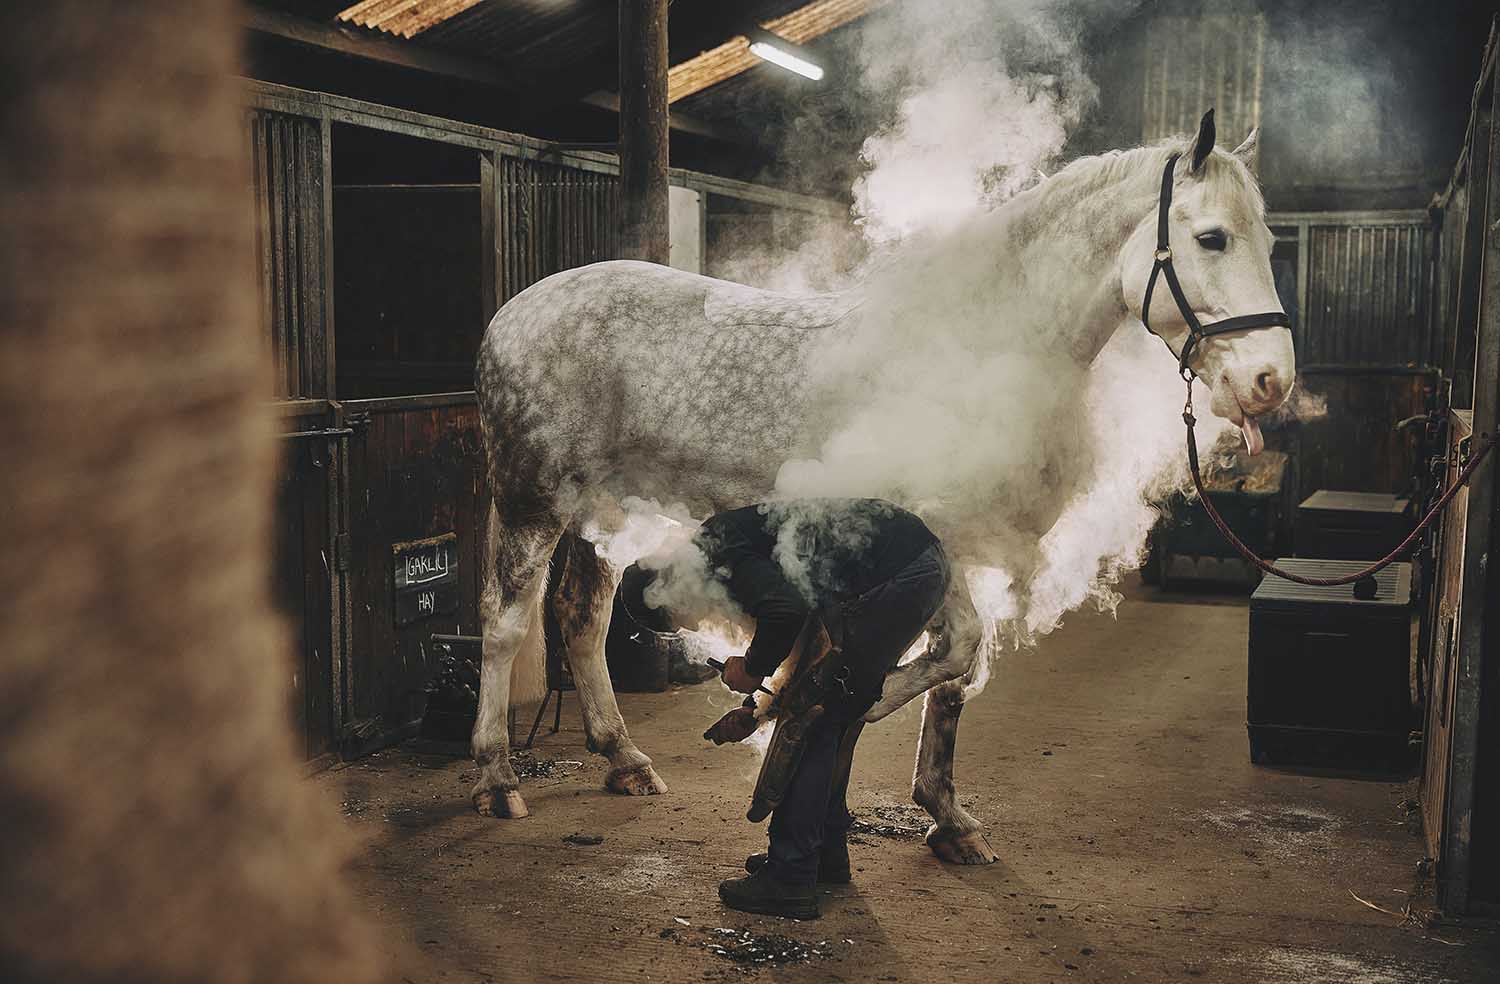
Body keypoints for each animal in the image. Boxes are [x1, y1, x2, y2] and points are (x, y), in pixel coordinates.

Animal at [468, 111, 1295, 865]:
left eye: (1269, 242)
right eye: (1212, 237)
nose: (1271, 381)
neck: (988, 343)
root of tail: (512, 313)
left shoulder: (972, 550)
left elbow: (958, 676)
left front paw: (946, 815)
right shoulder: (936, 540)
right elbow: (951, 652)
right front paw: (801, 711)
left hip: (605, 512)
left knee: (581, 619)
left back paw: (624, 759)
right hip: (533, 500)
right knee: (506, 623)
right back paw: (496, 778)